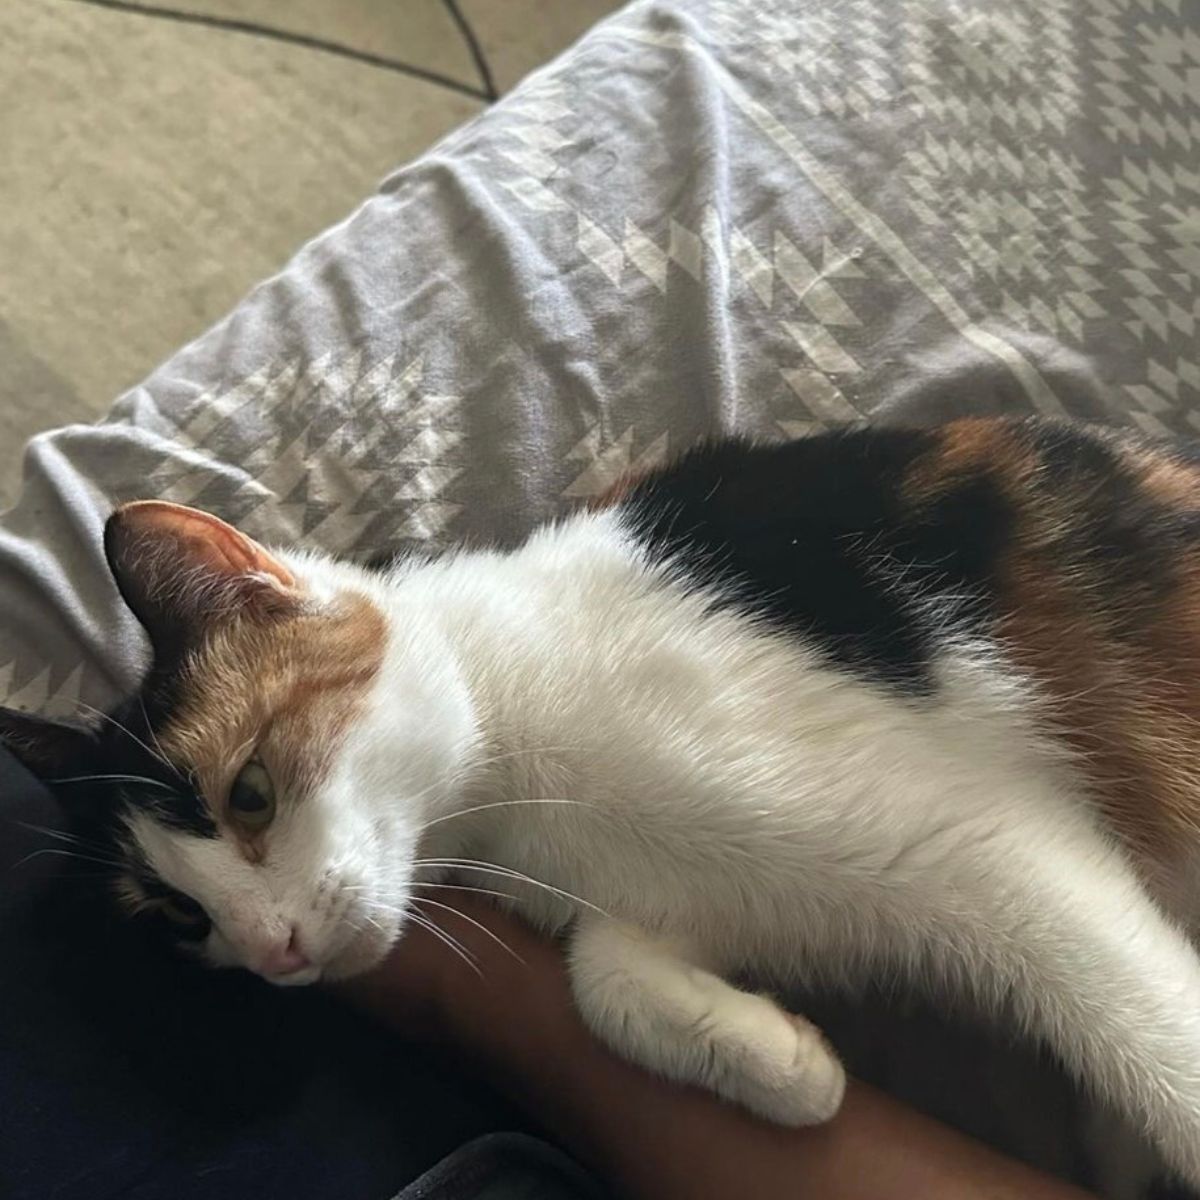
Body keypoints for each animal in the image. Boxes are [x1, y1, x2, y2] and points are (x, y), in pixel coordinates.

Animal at [4, 417, 1200, 1185]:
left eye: (249, 794)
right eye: (182, 919)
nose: (272, 952)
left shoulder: (980, 839)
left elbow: (1156, 1038)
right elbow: (604, 983)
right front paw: (785, 1067)